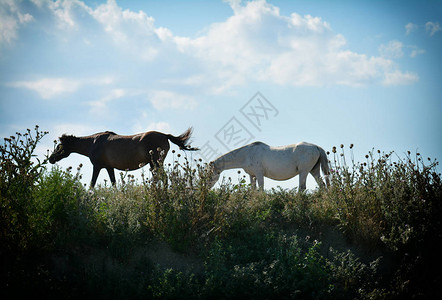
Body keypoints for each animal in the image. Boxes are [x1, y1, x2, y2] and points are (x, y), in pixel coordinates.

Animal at [48, 127, 199, 188]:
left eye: (59, 146)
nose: (51, 159)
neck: (93, 143)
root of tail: (165, 135)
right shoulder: (109, 167)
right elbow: (114, 183)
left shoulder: (97, 166)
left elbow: (92, 184)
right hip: (153, 164)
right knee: (159, 178)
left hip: (156, 162)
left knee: (163, 178)